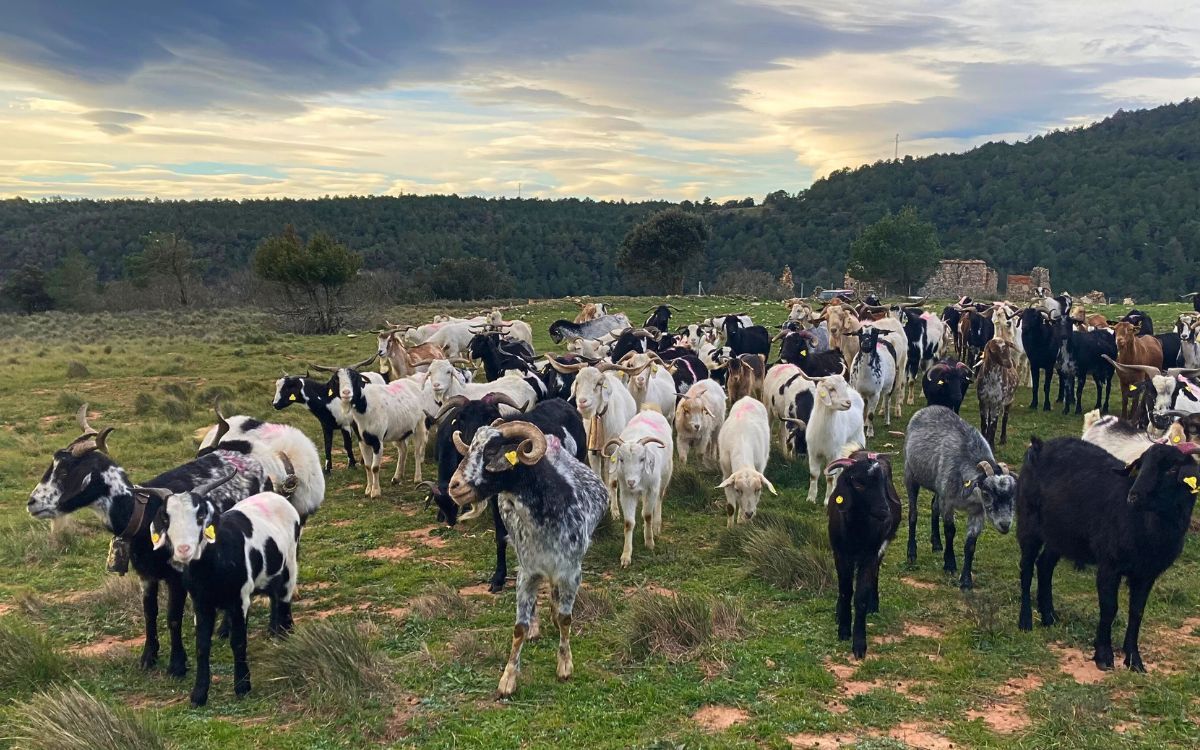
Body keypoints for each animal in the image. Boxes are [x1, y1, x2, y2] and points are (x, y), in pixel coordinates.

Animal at [27, 403, 274, 676]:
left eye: (64, 471)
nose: (32, 503)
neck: (143, 513)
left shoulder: (176, 576)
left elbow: (173, 617)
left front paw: (177, 665)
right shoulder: (146, 575)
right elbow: (150, 613)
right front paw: (148, 657)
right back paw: (223, 629)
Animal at [143, 472, 300, 705]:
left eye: (200, 515)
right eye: (165, 518)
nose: (183, 549)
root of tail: (276, 496)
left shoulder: (240, 599)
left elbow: (239, 642)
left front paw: (242, 686)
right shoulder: (201, 602)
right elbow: (202, 646)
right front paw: (199, 694)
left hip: (290, 562)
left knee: (284, 597)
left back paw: (286, 632)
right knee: (274, 594)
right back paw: (273, 630)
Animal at [604, 405, 672, 564]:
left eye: (642, 459)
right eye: (621, 459)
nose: (631, 482)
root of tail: (649, 410)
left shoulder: (652, 489)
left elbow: (647, 515)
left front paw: (649, 542)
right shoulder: (626, 493)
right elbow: (629, 523)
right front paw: (626, 555)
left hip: (664, 477)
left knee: (659, 499)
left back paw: (656, 526)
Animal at [825, 446, 902, 657]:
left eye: (883, 481)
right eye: (859, 484)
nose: (885, 512)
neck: (857, 528)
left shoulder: (870, 554)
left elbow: (860, 596)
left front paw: (859, 644)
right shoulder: (840, 553)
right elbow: (845, 591)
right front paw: (843, 629)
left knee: (875, 574)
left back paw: (874, 604)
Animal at [902, 405, 1017, 588]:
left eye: (1012, 495)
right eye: (987, 493)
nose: (1005, 525)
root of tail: (929, 408)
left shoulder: (978, 511)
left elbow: (970, 544)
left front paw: (966, 581)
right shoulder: (948, 502)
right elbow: (950, 531)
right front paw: (949, 564)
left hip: (937, 486)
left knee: (934, 507)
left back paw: (936, 543)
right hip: (910, 474)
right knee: (913, 513)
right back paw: (912, 552)